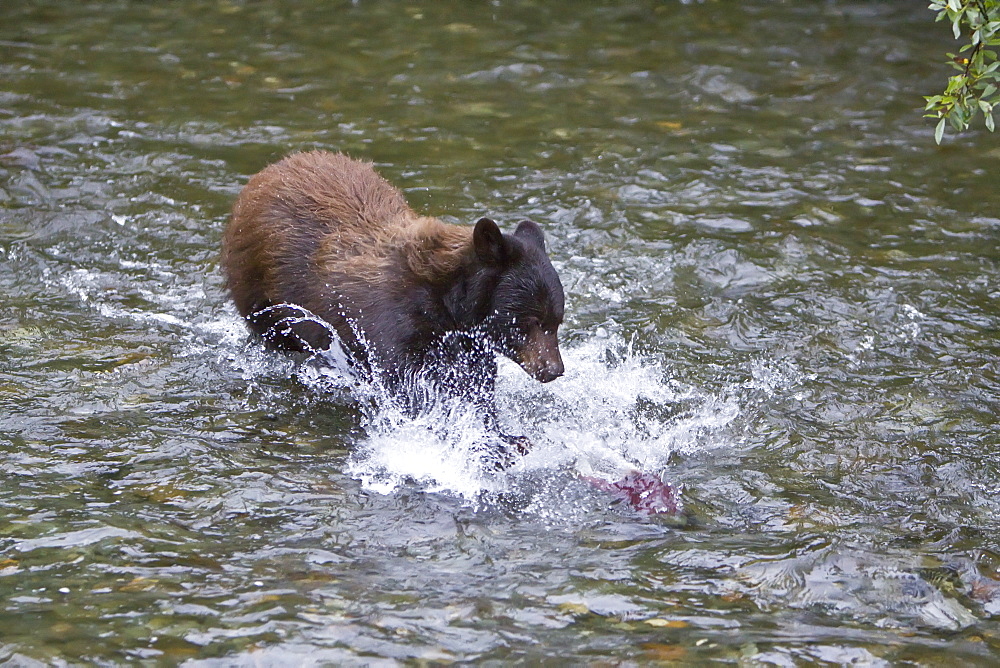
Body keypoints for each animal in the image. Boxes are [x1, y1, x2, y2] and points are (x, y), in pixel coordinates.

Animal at [221, 151, 564, 454]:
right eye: (531, 320)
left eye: (556, 321)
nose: (554, 370)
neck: (445, 301)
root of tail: (267, 172)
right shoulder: (391, 322)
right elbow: (409, 384)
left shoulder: (466, 342)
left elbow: (476, 384)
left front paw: (505, 435)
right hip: (260, 294)